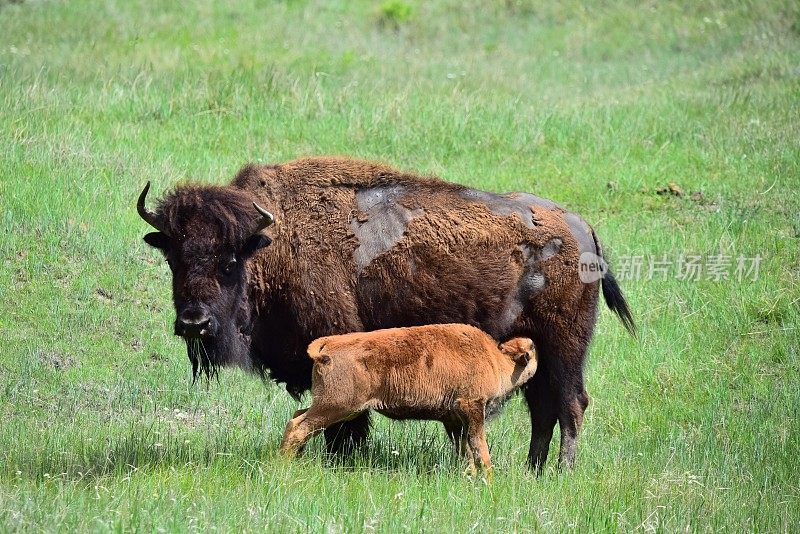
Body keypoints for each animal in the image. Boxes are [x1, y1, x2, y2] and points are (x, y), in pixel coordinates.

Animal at [280, 324, 536, 480]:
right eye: (532, 351)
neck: (496, 359)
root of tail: (329, 345)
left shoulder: (454, 420)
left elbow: (465, 450)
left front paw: (469, 476)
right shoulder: (472, 408)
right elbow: (479, 447)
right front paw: (489, 480)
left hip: (331, 406)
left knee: (297, 417)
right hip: (336, 407)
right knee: (298, 427)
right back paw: (284, 464)